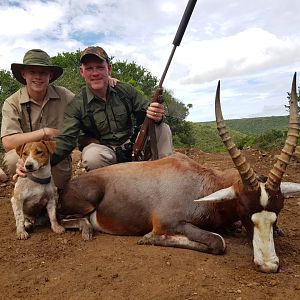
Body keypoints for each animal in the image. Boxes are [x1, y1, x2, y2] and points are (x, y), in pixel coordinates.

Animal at [58, 74, 300, 274]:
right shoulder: (168, 222)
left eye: (277, 212)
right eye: (245, 209)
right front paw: (148, 238)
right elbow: (218, 242)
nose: (268, 265)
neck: (202, 185)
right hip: (85, 205)